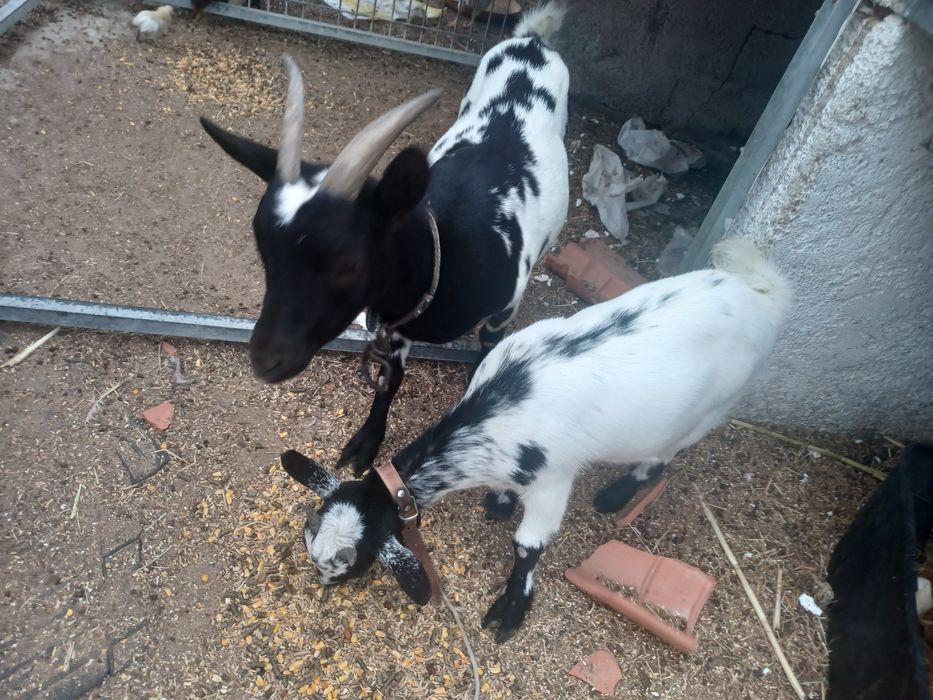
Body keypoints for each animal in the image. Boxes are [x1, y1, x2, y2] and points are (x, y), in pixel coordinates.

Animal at [199, 2, 571, 476]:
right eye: (264, 252)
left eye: (350, 263)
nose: (265, 362)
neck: (445, 249)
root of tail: (533, 43)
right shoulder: (394, 330)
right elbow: (389, 382)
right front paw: (366, 444)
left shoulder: (503, 307)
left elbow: (486, 353)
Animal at [281, 237, 791, 642]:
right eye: (310, 538)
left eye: (352, 562)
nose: (323, 584)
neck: (496, 412)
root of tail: (760, 294)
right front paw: (499, 502)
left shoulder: (552, 482)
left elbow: (528, 548)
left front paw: (510, 610)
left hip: (712, 409)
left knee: (664, 455)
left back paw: (617, 494)